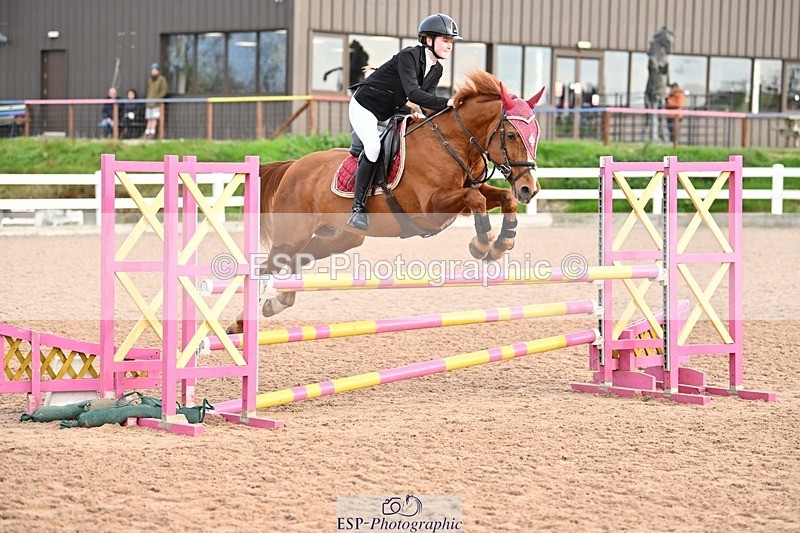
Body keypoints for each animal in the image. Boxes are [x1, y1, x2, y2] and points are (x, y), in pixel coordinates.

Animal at [228, 70, 544, 333]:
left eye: (536, 134)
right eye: (512, 134)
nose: (529, 189)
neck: (451, 142)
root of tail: (293, 167)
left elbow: (502, 198)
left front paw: (502, 243)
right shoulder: (431, 208)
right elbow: (475, 198)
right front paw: (481, 244)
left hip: (339, 238)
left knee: (292, 262)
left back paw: (276, 302)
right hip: (291, 236)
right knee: (267, 266)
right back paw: (241, 322)